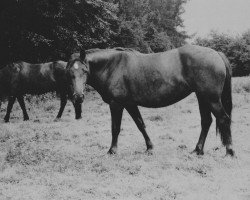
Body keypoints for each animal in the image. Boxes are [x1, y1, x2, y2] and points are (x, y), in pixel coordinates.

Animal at [69, 45, 234, 156]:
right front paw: (150, 147)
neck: (112, 66)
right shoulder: (130, 104)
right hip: (202, 98)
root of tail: (216, 53)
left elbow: (115, 128)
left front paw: (112, 150)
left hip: (211, 99)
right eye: (70, 72)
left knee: (223, 118)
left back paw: (229, 151)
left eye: (84, 71)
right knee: (206, 121)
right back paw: (198, 150)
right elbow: (140, 124)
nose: (78, 97)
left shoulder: (117, 104)